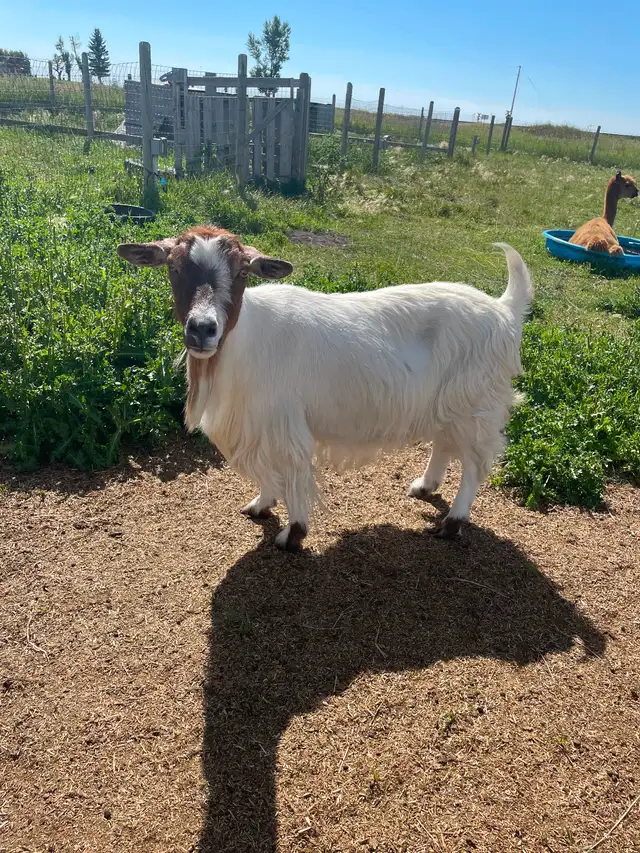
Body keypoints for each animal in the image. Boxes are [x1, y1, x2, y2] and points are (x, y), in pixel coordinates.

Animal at [117, 227, 532, 551]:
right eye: (173, 267)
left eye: (241, 273)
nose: (202, 329)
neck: (246, 342)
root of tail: (504, 311)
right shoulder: (256, 428)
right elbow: (266, 472)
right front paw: (261, 504)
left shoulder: (284, 425)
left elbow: (291, 473)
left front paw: (292, 534)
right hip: (447, 404)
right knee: (445, 443)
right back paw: (425, 487)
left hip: (475, 404)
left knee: (474, 464)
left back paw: (453, 521)